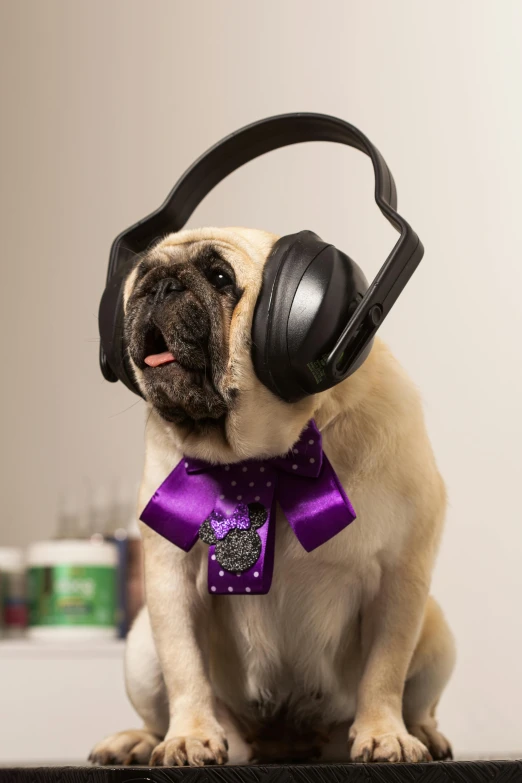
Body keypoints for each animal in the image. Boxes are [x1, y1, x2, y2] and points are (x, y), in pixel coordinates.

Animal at [90, 227, 456, 764]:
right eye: (140, 278)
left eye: (221, 278)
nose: (161, 287)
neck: (265, 456)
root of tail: (286, 740)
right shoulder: (169, 583)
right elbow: (185, 668)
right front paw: (190, 734)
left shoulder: (400, 579)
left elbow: (385, 671)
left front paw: (384, 732)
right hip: (140, 648)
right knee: (159, 704)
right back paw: (137, 740)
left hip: (436, 634)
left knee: (420, 700)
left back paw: (423, 732)